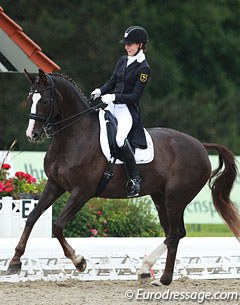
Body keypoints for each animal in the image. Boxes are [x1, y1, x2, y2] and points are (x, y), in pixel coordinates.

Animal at [7, 69, 240, 284]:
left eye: (45, 100)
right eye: (30, 99)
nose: (32, 135)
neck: (73, 136)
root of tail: (200, 145)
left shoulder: (82, 192)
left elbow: (58, 226)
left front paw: (79, 261)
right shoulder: (55, 185)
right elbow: (32, 217)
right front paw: (14, 263)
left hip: (176, 198)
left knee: (175, 233)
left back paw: (157, 274)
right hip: (160, 197)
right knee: (172, 233)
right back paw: (153, 273)